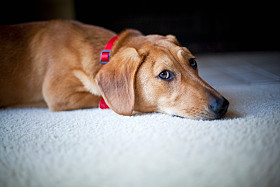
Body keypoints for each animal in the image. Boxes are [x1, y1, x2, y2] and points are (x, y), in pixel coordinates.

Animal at [0, 19, 229, 120]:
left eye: (193, 62)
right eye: (164, 74)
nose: (223, 105)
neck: (102, 51)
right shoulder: (59, 94)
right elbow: (102, 97)